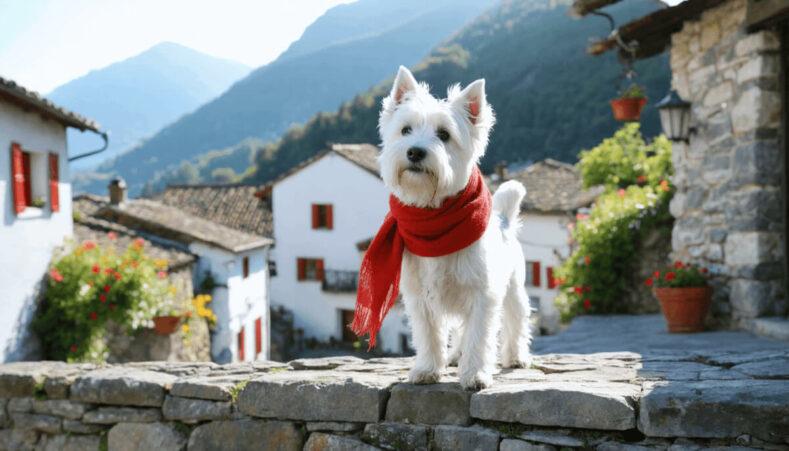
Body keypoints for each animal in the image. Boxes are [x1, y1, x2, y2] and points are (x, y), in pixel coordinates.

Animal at [378, 65, 532, 390]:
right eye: (406, 129)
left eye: (444, 134)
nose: (415, 152)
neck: (434, 218)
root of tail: (503, 218)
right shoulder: (420, 297)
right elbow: (429, 335)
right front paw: (427, 370)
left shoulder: (482, 294)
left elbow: (479, 338)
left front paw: (475, 375)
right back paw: (453, 356)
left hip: (513, 287)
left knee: (516, 320)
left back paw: (516, 356)